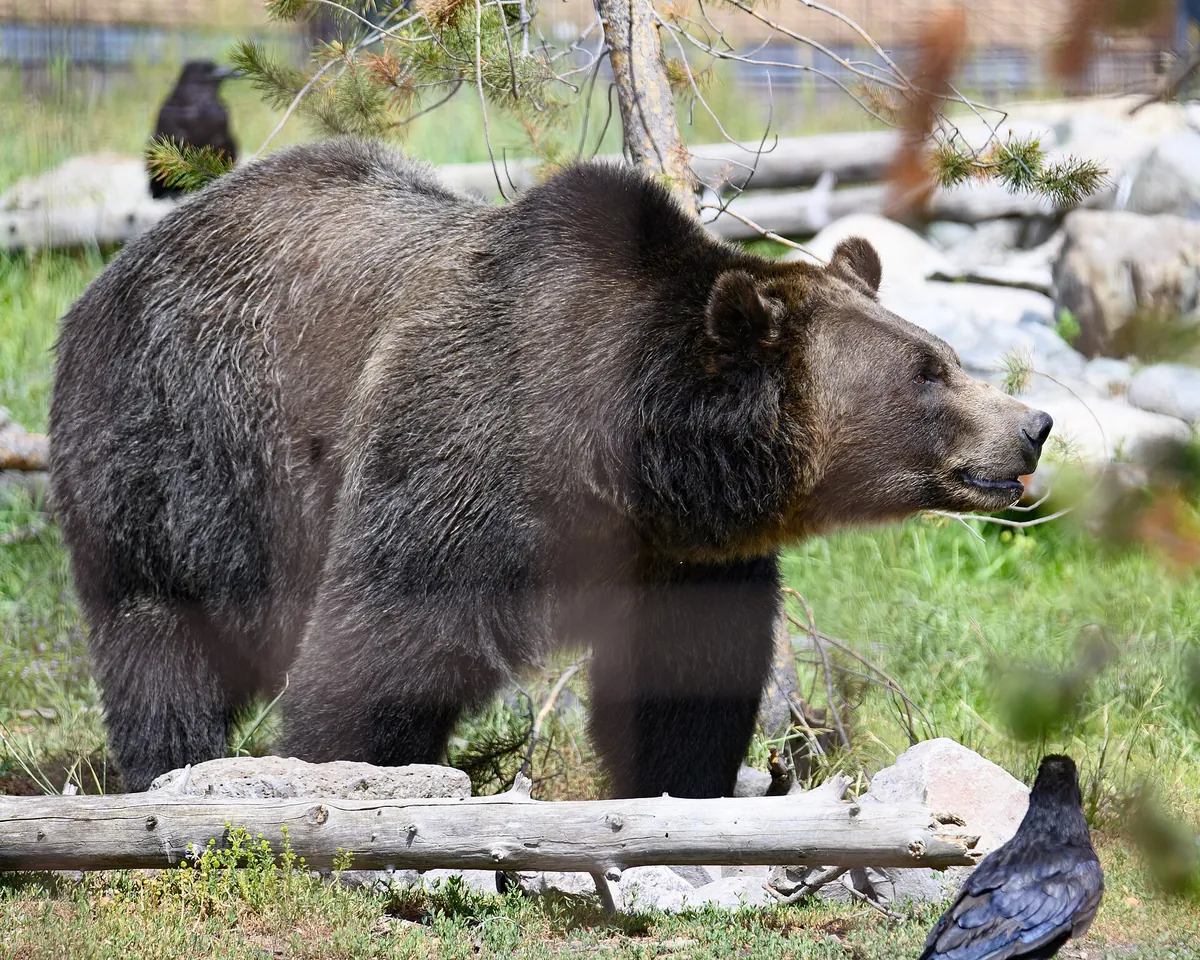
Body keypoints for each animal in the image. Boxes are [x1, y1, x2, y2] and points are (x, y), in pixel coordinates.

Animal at [49, 138, 1052, 796]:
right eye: (928, 374)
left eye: (943, 351)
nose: (1033, 425)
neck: (622, 455)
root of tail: (111, 272)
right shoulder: (463, 452)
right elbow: (385, 640)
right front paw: (355, 772)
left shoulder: (676, 554)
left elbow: (685, 678)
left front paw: (678, 783)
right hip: (188, 444)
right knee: (163, 628)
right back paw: (171, 763)